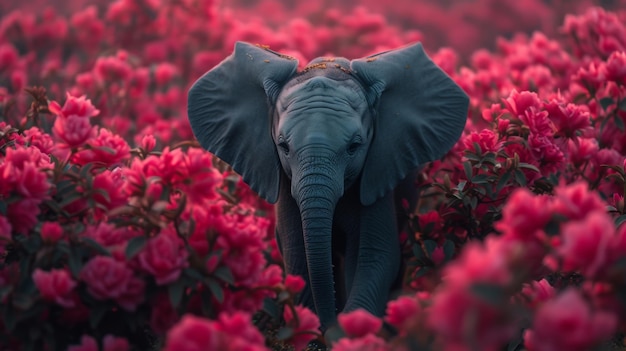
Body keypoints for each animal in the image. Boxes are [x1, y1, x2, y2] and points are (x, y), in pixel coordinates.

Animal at [186, 41, 468, 338]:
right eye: (283, 146)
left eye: (355, 146)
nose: (328, 324)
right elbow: (297, 256)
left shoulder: (377, 171)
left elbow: (376, 257)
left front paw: (343, 331)